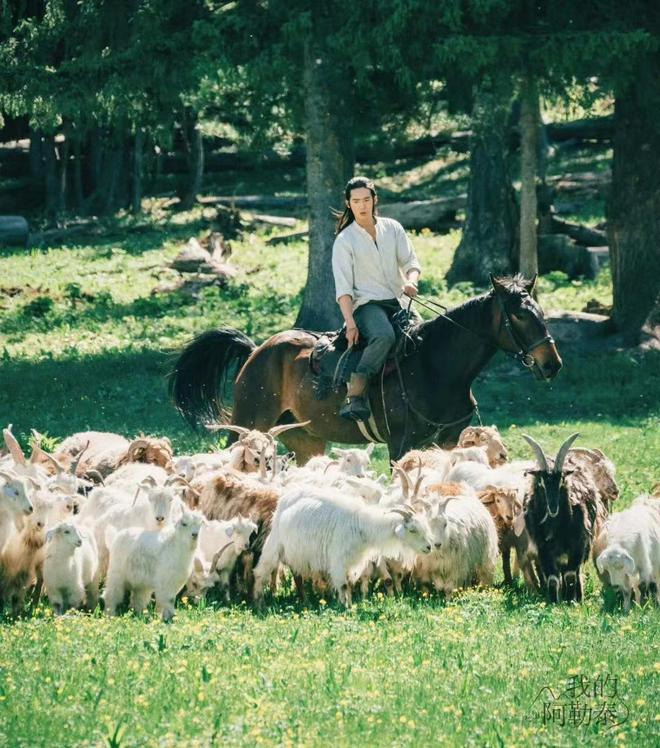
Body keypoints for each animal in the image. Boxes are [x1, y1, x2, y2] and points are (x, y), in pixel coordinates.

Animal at [170, 274, 564, 462]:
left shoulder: (448, 440)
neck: (436, 368)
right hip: (249, 423)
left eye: (540, 312)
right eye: (518, 315)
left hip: (306, 440)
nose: (552, 364)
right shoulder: (401, 444)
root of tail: (256, 351)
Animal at [524, 432, 604, 600]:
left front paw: (571, 600)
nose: (553, 508)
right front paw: (553, 601)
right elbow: (553, 578)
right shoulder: (543, 548)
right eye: (541, 483)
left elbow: (570, 574)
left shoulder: (578, 543)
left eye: (562, 481)